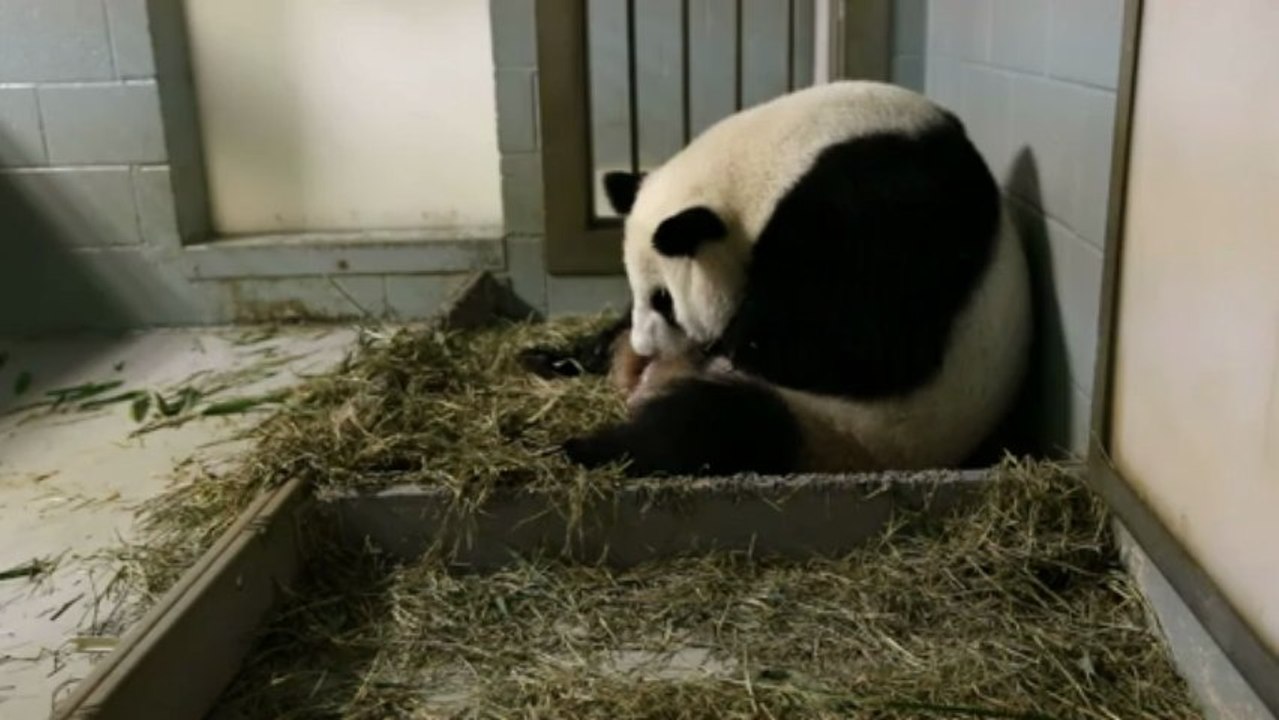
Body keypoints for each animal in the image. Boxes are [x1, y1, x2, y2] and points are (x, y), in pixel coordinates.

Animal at [525, 80, 1032, 478]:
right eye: (639, 292)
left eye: (664, 299)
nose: (646, 350)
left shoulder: (883, 209)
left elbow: (866, 345)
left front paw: (733, 340)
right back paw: (549, 360)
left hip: (849, 429)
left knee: (720, 425)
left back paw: (589, 447)